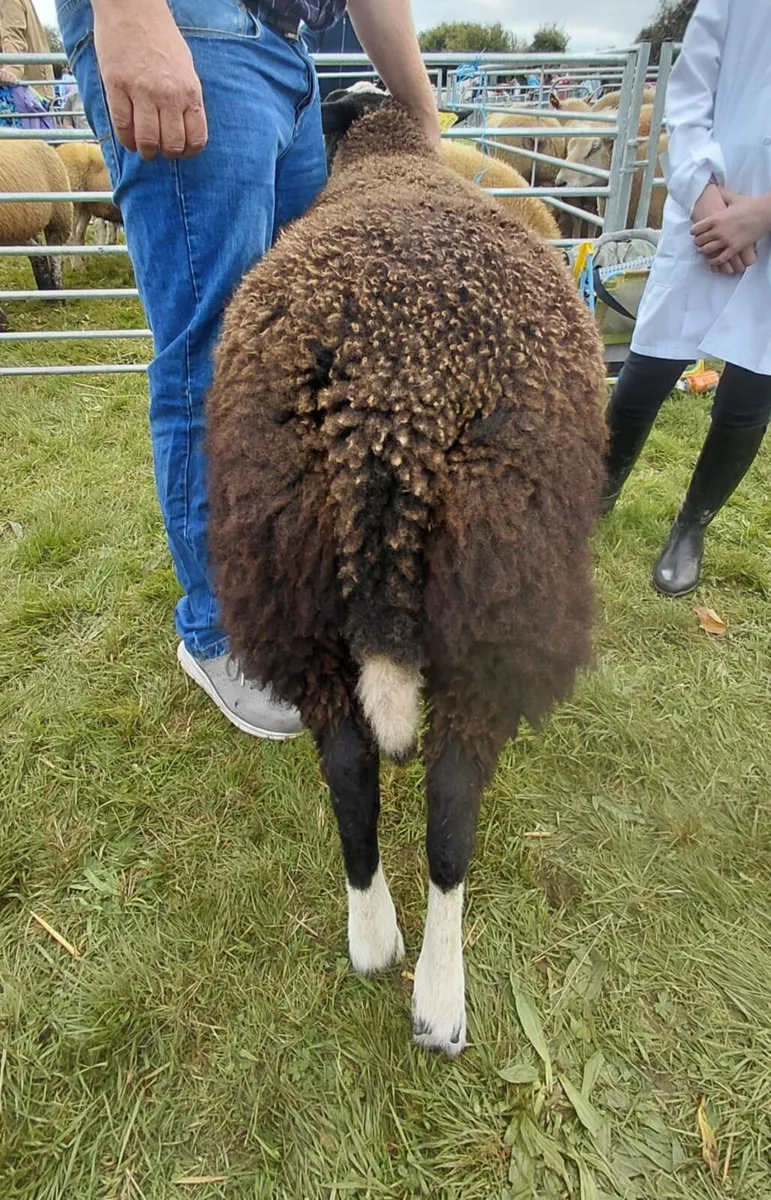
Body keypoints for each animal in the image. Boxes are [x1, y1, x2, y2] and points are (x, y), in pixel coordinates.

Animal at [0, 140, 72, 296]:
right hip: (20, 227)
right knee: (38, 252)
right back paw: (46, 289)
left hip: (59, 216)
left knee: (56, 257)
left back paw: (56, 294)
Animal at [206, 93, 606, 1057]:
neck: (388, 155)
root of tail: (393, 406)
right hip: (503, 582)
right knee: (451, 803)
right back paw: (438, 996)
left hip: (288, 567)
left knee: (350, 767)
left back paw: (373, 937)